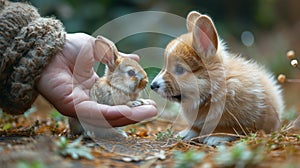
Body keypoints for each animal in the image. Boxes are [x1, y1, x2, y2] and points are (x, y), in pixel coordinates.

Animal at [150, 11, 284, 146]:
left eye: (179, 69)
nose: (153, 85)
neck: (213, 90)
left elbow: (227, 128)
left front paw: (215, 138)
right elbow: (195, 128)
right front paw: (185, 134)